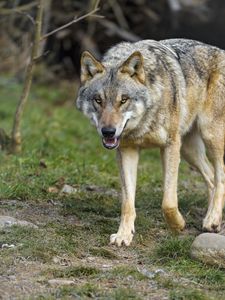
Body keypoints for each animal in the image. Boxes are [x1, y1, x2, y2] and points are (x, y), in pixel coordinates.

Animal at [76, 39, 225, 246]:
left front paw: (178, 225)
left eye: (124, 100)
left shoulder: (170, 146)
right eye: (98, 100)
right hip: (189, 151)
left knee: (220, 176)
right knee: (211, 178)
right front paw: (123, 235)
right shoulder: (127, 151)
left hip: (210, 136)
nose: (108, 132)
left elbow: (168, 202)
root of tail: (221, 51)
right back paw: (211, 218)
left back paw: (213, 219)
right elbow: (127, 203)